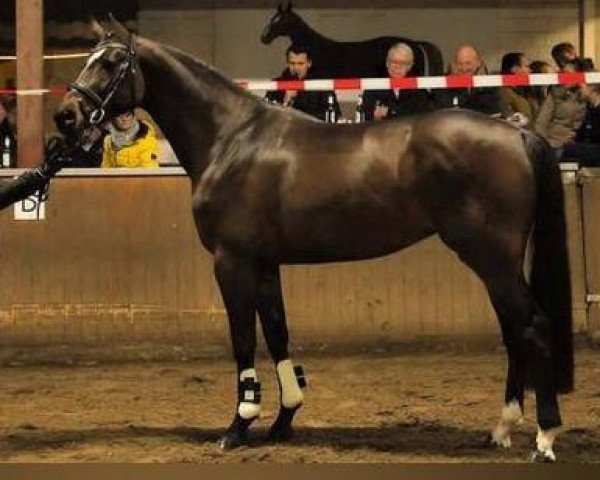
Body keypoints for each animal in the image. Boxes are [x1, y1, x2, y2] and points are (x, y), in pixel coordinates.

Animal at [54, 16, 576, 462]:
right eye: (90, 57)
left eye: (111, 62)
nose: (66, 116)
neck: (232, 139)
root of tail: (516, 133)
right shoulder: (265, 263)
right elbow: (278, 333)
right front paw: (282, 421)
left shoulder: (231, 261)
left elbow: (243, 338)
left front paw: (238, 426)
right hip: (494, 262)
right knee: (513, 329)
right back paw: (502, 429)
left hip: (491, 257)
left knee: (532, 326)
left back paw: (544, 438)